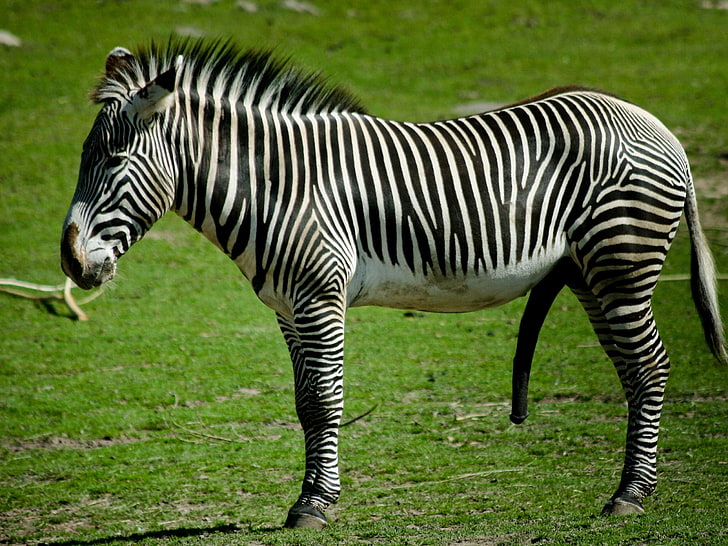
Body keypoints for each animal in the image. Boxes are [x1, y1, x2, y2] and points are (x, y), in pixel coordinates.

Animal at [61, 39, 724, 528]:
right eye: (82, 159)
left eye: (115, 161)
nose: (70, 263)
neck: (277, 185)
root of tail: (653, 123)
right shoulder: (286, 307)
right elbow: (304, 404)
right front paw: (308, 497)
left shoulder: (319, 295)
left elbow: (325, 402)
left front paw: (314, 506)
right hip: (593, 274)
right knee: (633, 373)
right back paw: (633, 487)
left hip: (623, 262)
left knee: (651, 368)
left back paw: (631, 495)